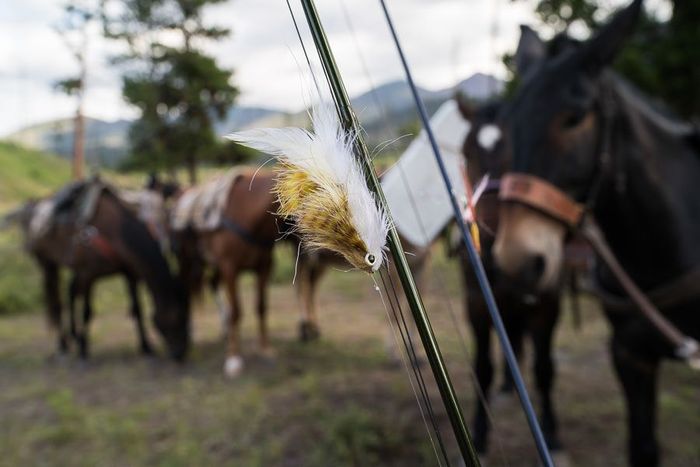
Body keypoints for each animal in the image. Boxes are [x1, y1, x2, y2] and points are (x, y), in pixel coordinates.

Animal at [11, 180, 191, 362]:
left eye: (188, 316)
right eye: (177, 316)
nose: (180, 353)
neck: (113, 231)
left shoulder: (129, 273)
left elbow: (137, 309)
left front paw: (146, 346)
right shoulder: (88, 274)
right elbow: (87, 312)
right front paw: (83, 350)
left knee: (71, 292)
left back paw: (73, 335)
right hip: (48, 265)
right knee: (56, 304)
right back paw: (63, 345)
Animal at [171, 170, 280, 378]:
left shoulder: (264, 267)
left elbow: (261, 306)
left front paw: (265, 348)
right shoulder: (230, 269)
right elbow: (237, 312)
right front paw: (233, 359)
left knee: (212, 283)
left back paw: (224, 329)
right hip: (187, 261)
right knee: (187, 289)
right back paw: (191, 331)